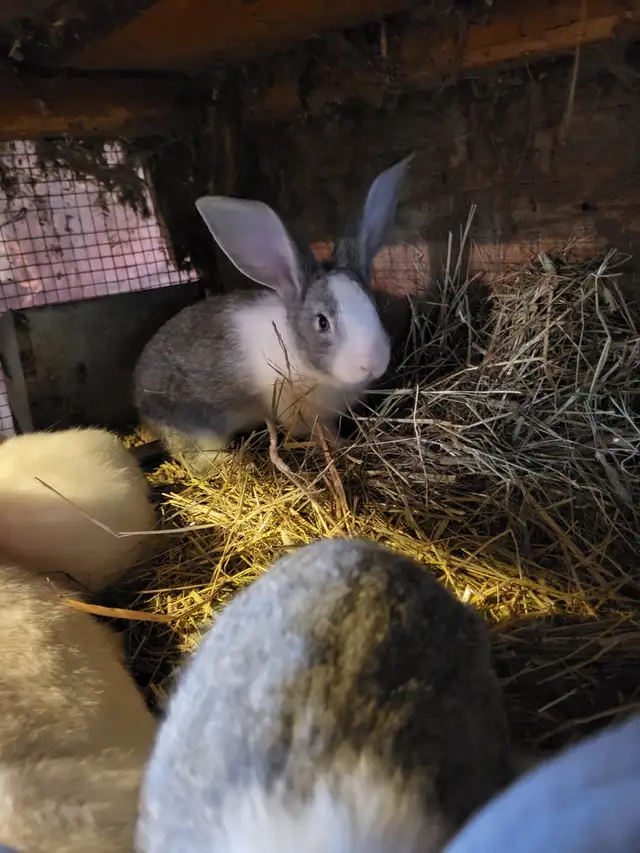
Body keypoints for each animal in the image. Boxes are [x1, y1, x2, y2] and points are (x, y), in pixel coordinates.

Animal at [133, 155, 414, 475]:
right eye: (322, 322)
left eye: (374, 306)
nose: (371, 363)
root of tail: (138, 397)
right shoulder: (302, 415)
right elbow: (321, 433)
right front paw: (342, 444)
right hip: (196, 428)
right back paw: (232, 460)